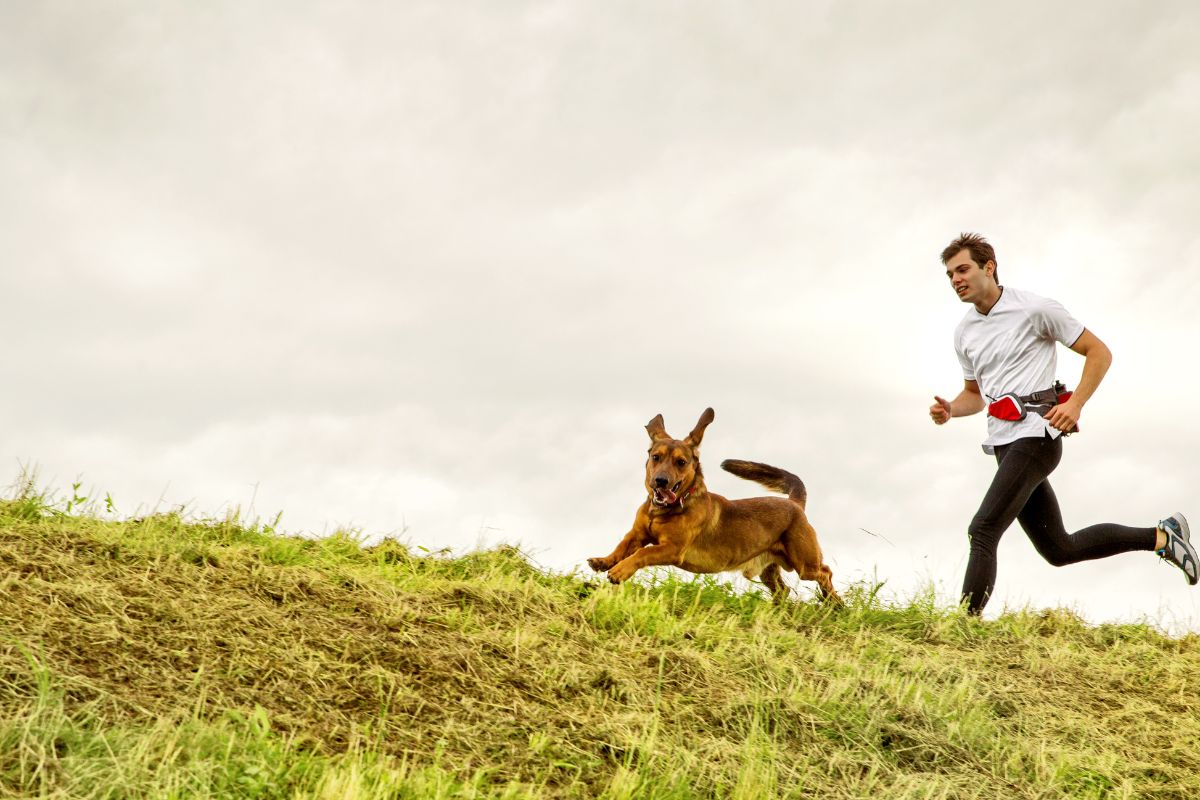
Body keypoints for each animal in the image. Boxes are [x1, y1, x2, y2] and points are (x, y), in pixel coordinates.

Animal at [585, 410, 840, 604]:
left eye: (681, 462)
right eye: (656, 457)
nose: (661, 481)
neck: (663, 510)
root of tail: (794, 503)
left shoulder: (672, 549)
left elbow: (642, 553)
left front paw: (620, 571)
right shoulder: (637, 534)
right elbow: (622, 547)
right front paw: (605, 561)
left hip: (804, 563)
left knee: (825, 573)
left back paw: (834, 604)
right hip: (770, 568)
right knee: (783, 590)